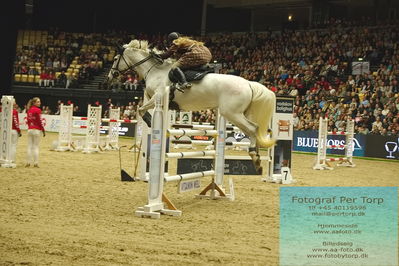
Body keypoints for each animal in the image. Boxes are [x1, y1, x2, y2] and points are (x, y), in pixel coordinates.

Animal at [105, 39, 276, 170]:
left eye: (115, 58)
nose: (109, 77)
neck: (155, 70)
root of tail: (249, 83)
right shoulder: (150, 96)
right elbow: (142, 105)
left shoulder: (158, 97)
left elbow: (140, 109)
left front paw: (149, 121)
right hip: (239, 114)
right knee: (252, 129)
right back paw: (256, 157)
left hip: (232, 114)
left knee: (253, 128)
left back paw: (254, 155)